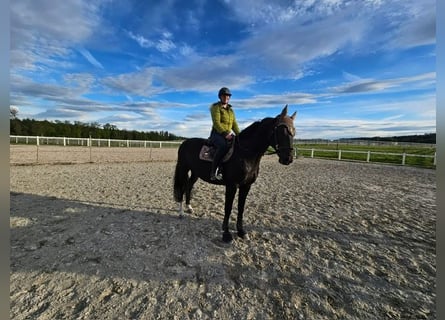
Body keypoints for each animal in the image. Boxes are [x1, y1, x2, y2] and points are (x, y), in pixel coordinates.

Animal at [173, 105, 294, 242]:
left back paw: (189, 208)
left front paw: (241, 231)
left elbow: (241, 208)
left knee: (189, 186)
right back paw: (181, 213)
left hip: (195, 173)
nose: (288, 158)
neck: (245, 153)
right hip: (183, 169)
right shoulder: (232, 186)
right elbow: (228, 208)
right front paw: (226, 234)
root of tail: (185, 142)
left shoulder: (246, 186)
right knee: (182, 188)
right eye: (281, 131)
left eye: (293, 131)